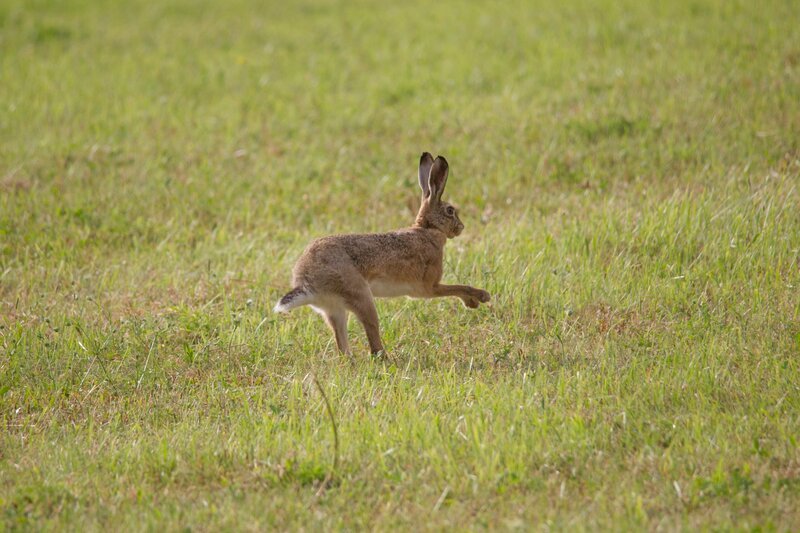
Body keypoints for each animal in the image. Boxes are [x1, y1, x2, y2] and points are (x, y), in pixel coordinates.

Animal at [274, 153, 491, 355]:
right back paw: (387, 357)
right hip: (361, 296)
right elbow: (457, 287)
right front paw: (480, 297)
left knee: (342, 343)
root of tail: (306, 282)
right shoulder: (428, 287)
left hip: (335, 309)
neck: (428, 229)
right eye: (450, 210)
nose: (461, 227)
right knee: (373, 338)